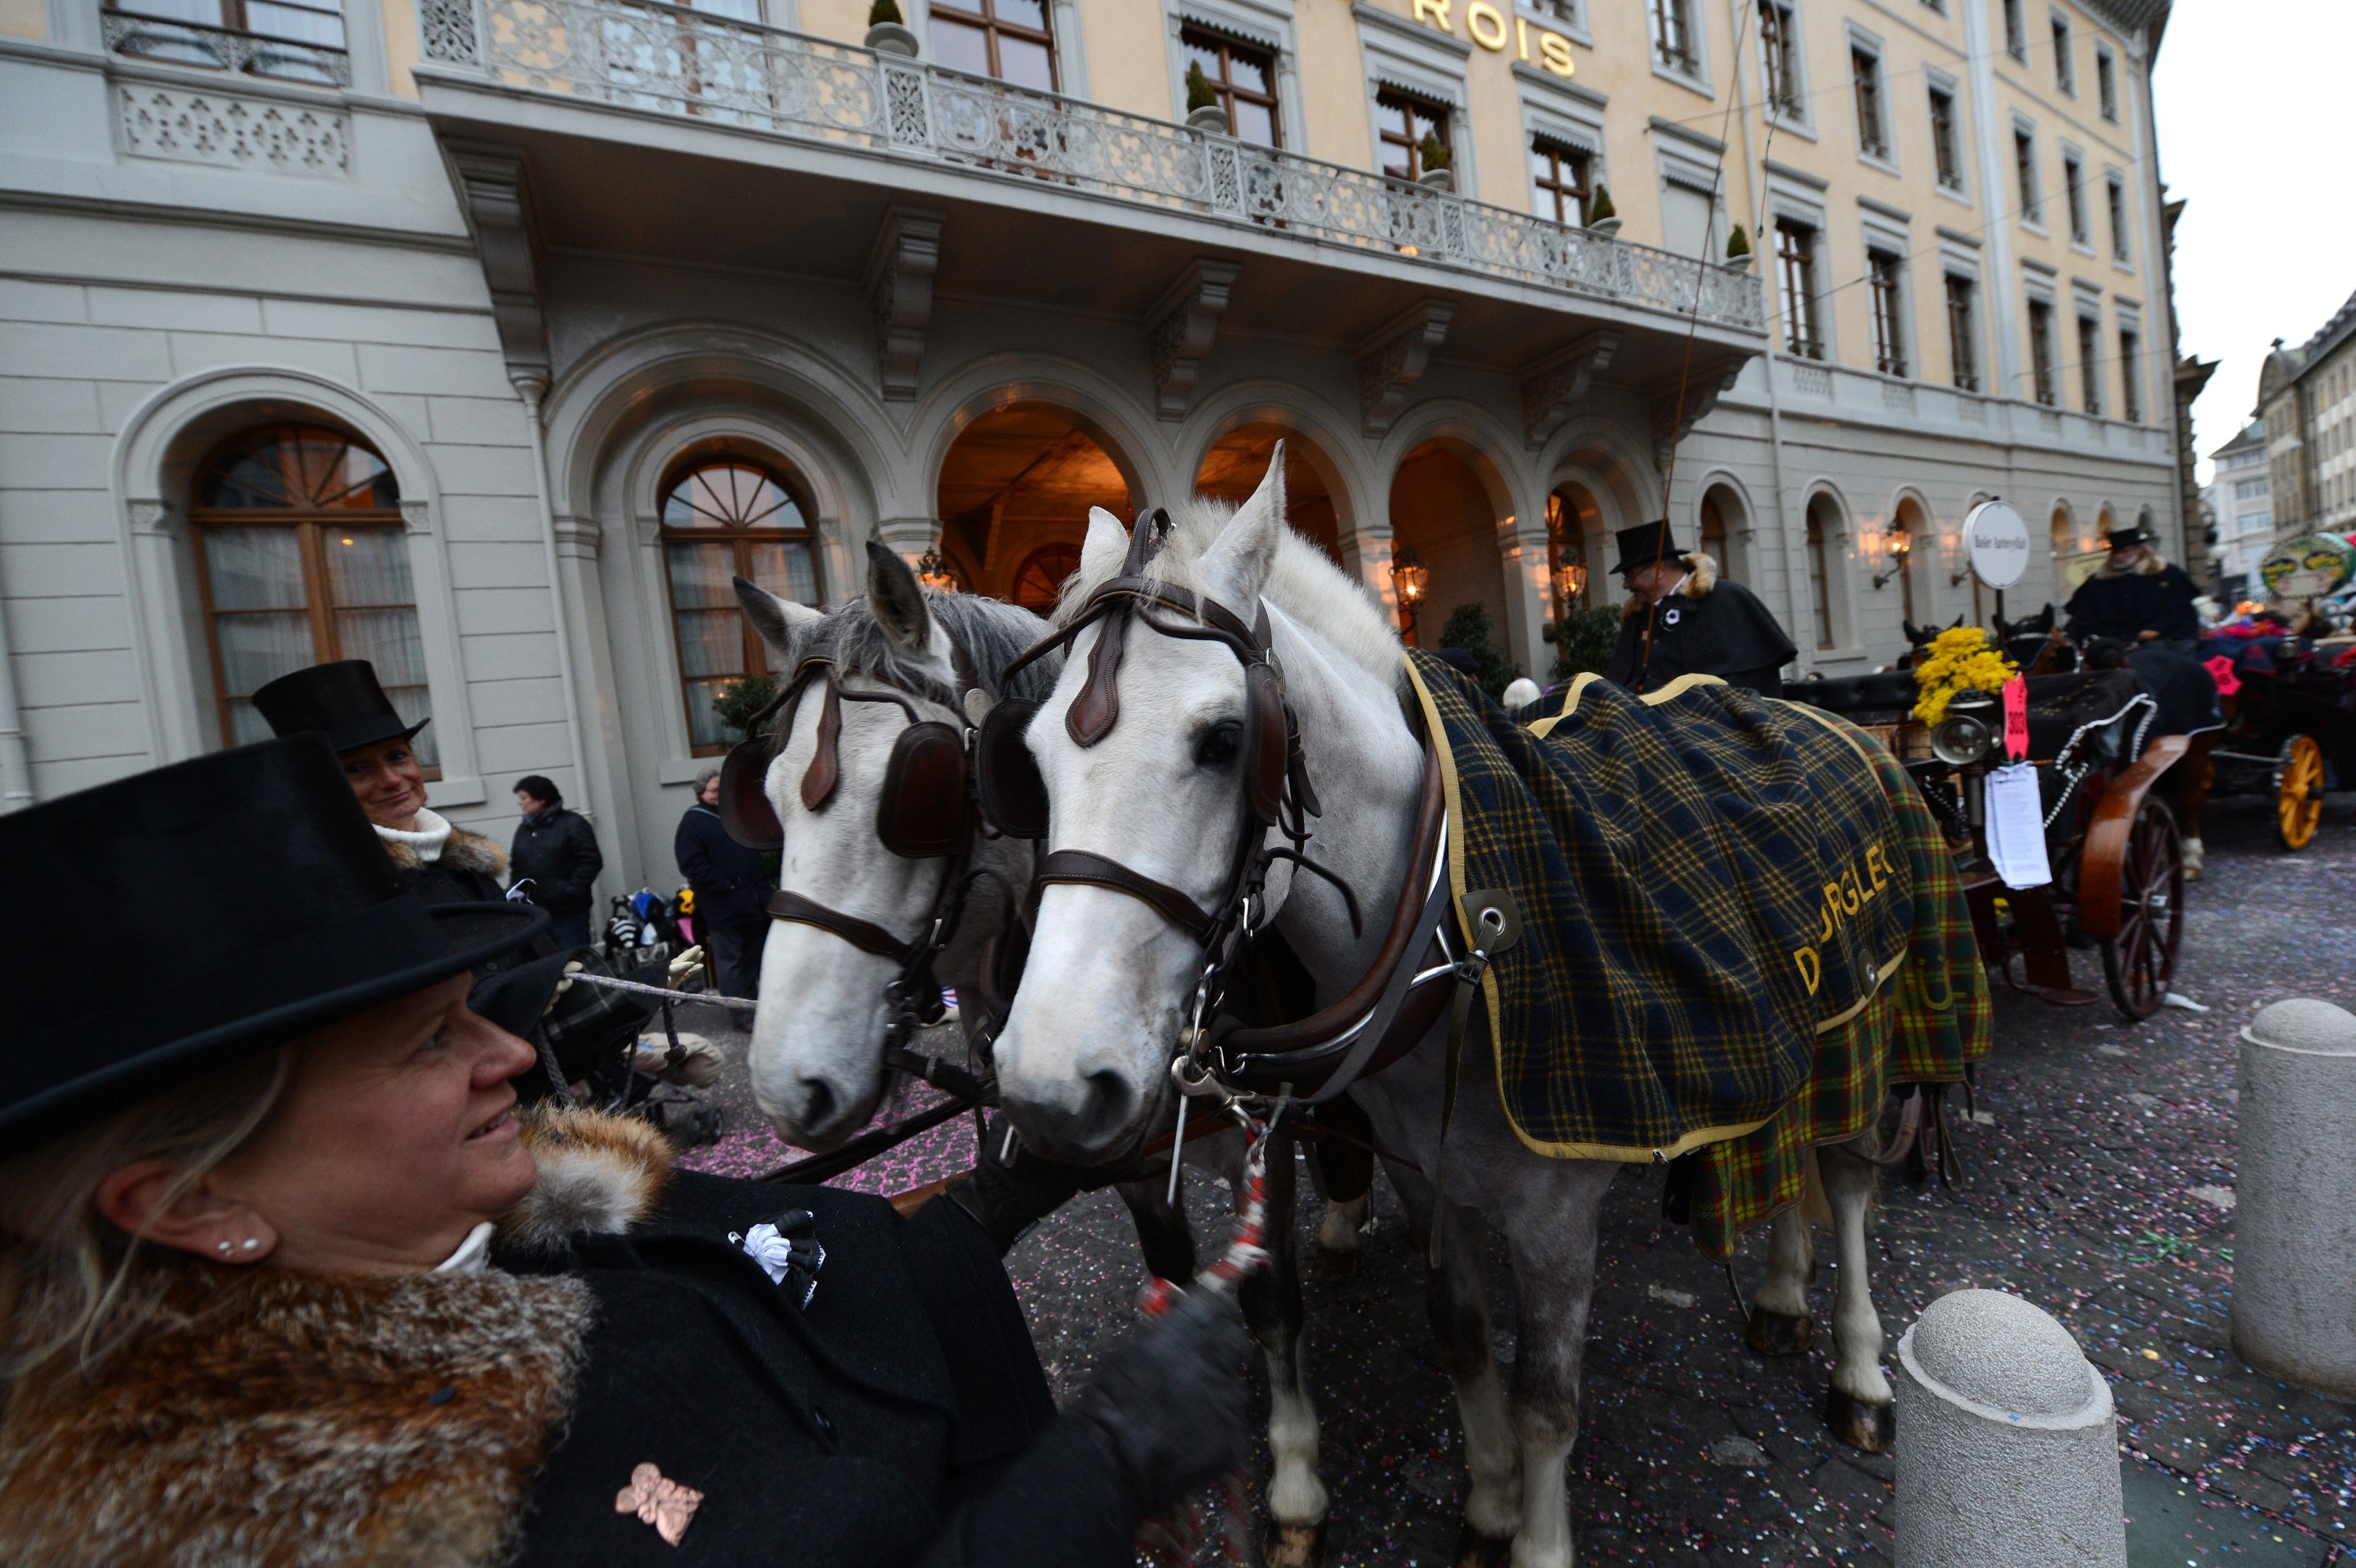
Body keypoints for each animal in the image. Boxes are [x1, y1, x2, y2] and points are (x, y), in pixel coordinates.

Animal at [990, 452, 1894, 1563]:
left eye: (1224, 737)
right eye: (1029, 758)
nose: (1049, 1080)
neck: (1451, 923)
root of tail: (1828, 719)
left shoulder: (1555, 1212)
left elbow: (1548, 1400)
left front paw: (1535, 1536)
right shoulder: (1429, 1176)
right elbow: (1460, 1336)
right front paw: (1489, 1503)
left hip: (1859, 1016)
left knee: (1845, 1176)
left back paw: (1858, 1369)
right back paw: (1779, 1287)